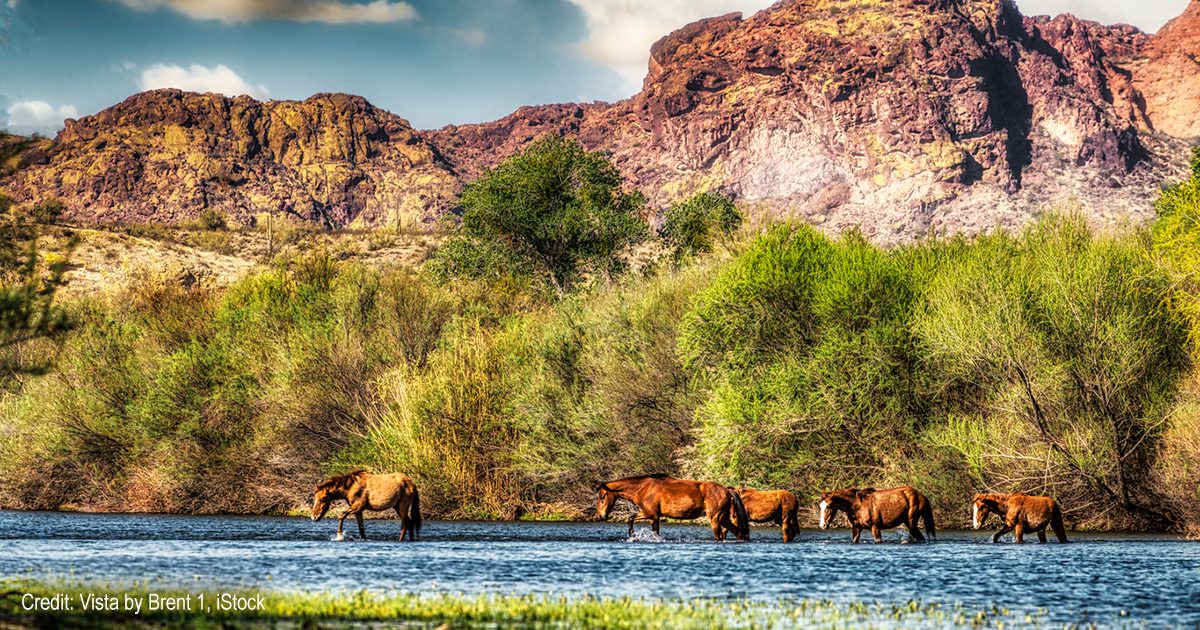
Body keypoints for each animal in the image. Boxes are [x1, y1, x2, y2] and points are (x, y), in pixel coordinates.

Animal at [594, 474, 749, 541]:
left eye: (602, 497)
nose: (600, 516)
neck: (643, 488)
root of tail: (727, 490)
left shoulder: (650, 514)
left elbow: (630, 518)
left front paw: (632, 535)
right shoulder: (653, 517)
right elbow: (652, 530)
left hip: (715, 518)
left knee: (719, 536)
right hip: (723, 518)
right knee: (738, 532)